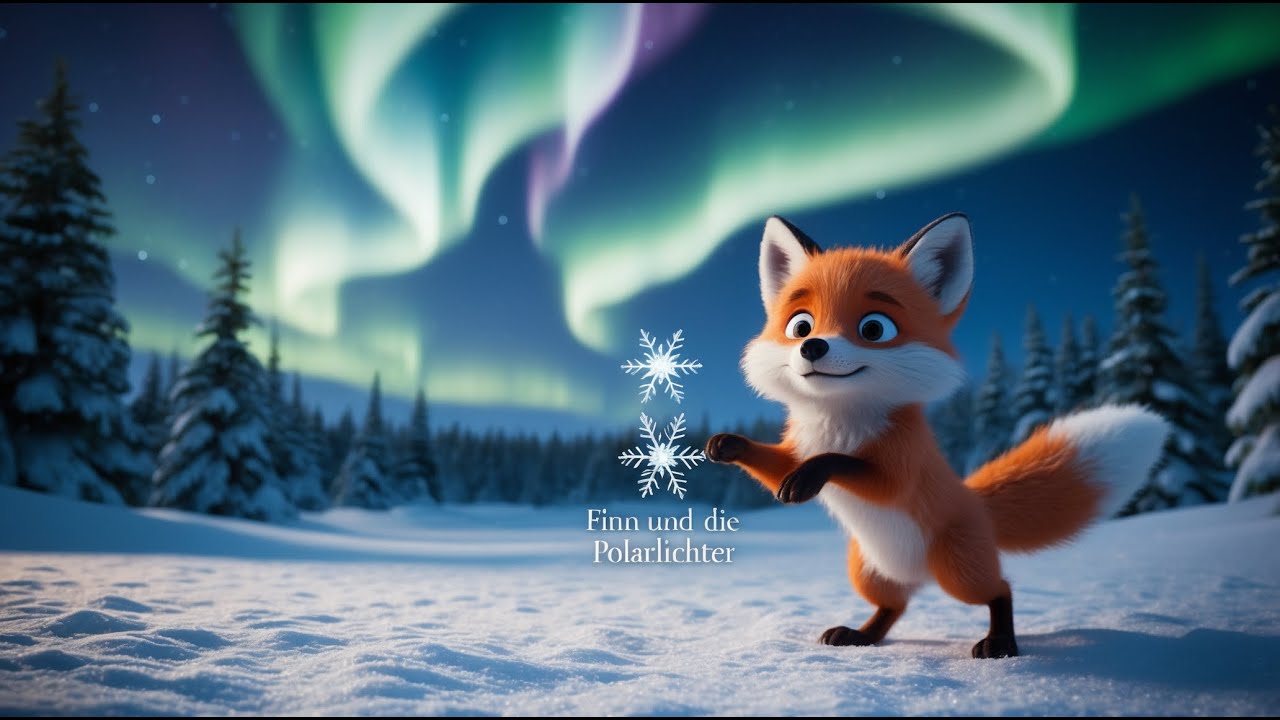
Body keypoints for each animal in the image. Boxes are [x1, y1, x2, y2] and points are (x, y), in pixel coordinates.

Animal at [705, 213, 1168, 659]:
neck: (836, 423)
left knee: (1001, 590)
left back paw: (1000, 644)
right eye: (800, 326)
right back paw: (860, 636)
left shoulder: (900, 466)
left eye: (874, 329)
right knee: (893, 607)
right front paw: (726, 445)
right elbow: (775, 466)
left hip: (959, 572)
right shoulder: (795, 449)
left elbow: (847, 465)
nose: (813, 347)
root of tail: (974, 501)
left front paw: (809, 477)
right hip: (868, 572)